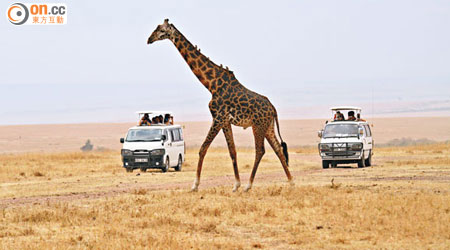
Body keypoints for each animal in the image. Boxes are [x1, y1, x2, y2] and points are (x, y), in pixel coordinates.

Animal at [147, 19, 292, 191]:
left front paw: (195, 185)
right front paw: (236, 185)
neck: (211, 84)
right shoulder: (225, 121)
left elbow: (203, 149)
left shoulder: (218, 117)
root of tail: (273, 109)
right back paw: (291, 181)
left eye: (161, 30)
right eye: (156, 28)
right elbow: (232, 151)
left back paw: (249, 185)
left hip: (258, 125)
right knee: (278, 149)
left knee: (260, 150)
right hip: (268, 126)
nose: (149, 39)